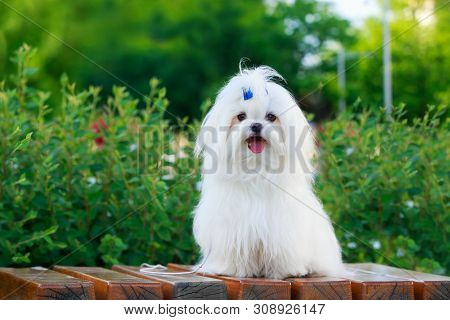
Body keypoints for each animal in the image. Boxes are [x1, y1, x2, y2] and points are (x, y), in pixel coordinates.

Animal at [192, 65, 342, 280]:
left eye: (271, 117)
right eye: (241, 116)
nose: (256, 125)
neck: (256, 169)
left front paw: (286, 271)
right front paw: (233, 269)